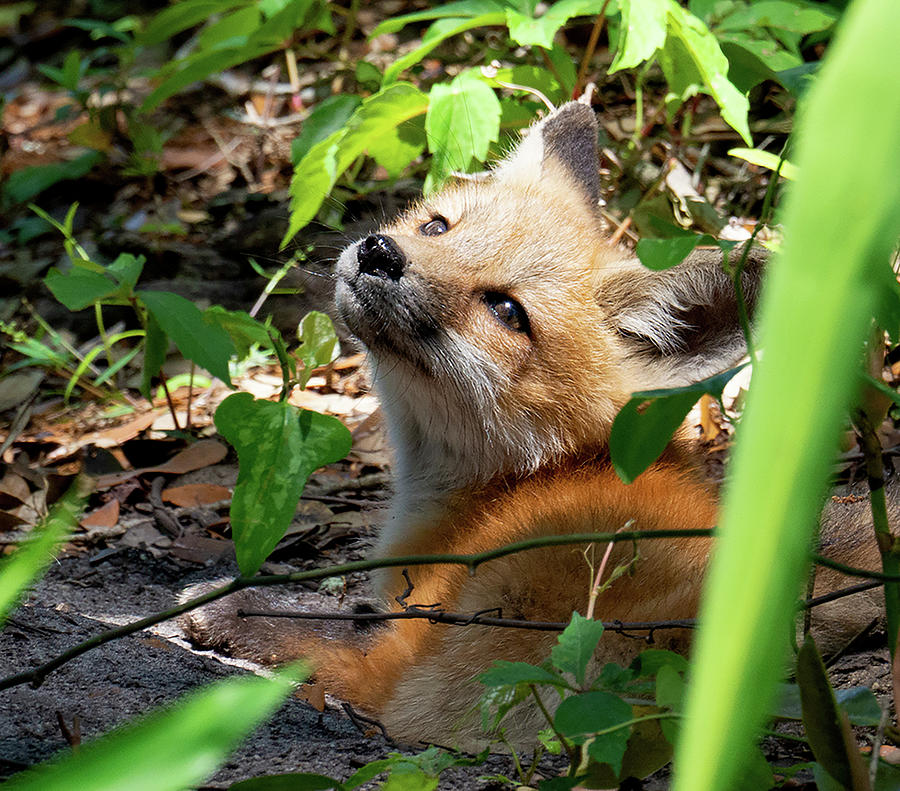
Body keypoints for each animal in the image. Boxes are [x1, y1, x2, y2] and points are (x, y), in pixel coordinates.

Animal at [183, 97, 884, 748]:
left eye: (506, 310)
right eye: (436, 226)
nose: (380, 252)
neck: (521, 480)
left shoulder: (412, 619)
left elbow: (322, 625)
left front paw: (231, 608)